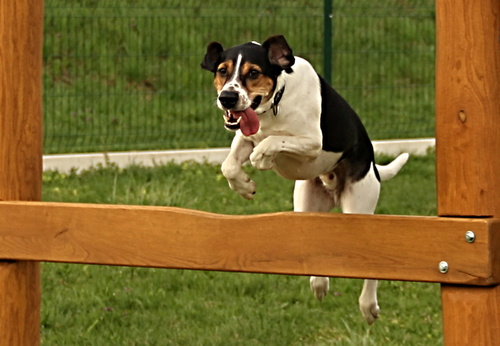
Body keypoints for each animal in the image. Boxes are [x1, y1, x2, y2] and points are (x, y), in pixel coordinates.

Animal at [201, 35, 408, 324]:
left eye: (253, 73)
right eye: (222, 71)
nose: (227, 98)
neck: (277, 100)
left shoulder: (312, 141)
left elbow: (271, 142)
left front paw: (262, 158)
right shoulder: (243, 135)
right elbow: (229, 164)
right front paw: (245, 186)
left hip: (359, 205)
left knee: (369, 265)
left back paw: (368, 306)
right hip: (306, 206)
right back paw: (319, 284)